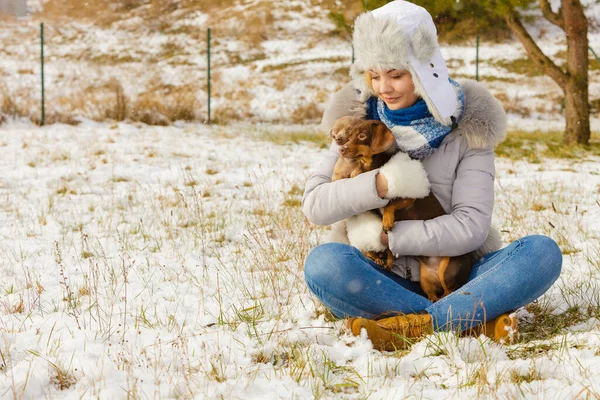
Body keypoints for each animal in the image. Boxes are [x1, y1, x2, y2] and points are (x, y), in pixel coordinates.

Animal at [328, 117, 474, 302]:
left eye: (362, 136)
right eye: (349, 134)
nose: (341, 148)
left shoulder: (411, 196)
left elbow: (390, 205)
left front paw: (387, 221)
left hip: (449, 269)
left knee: (449, 293)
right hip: (425, 280)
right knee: (433, 296)